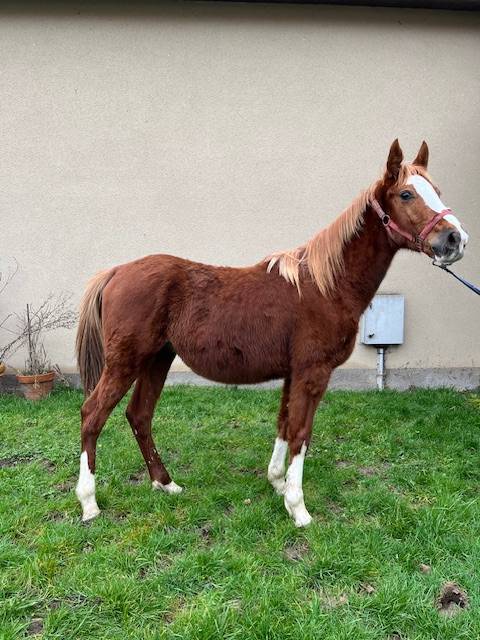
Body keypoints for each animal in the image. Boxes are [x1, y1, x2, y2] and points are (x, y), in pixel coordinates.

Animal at [75, 140, 469, 527]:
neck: (326, 285)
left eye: (436, 190)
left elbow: (284, 424)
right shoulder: (313, 372)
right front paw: (299, 508)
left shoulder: (293, 373)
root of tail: (116, 272)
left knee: (139, 415)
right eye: (406, 194)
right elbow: (301, 433)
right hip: (126, 362)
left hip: (157, 359)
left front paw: (278, 483)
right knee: (92, 414)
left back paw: (165, 483)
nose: (456, 239)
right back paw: (89, 503)